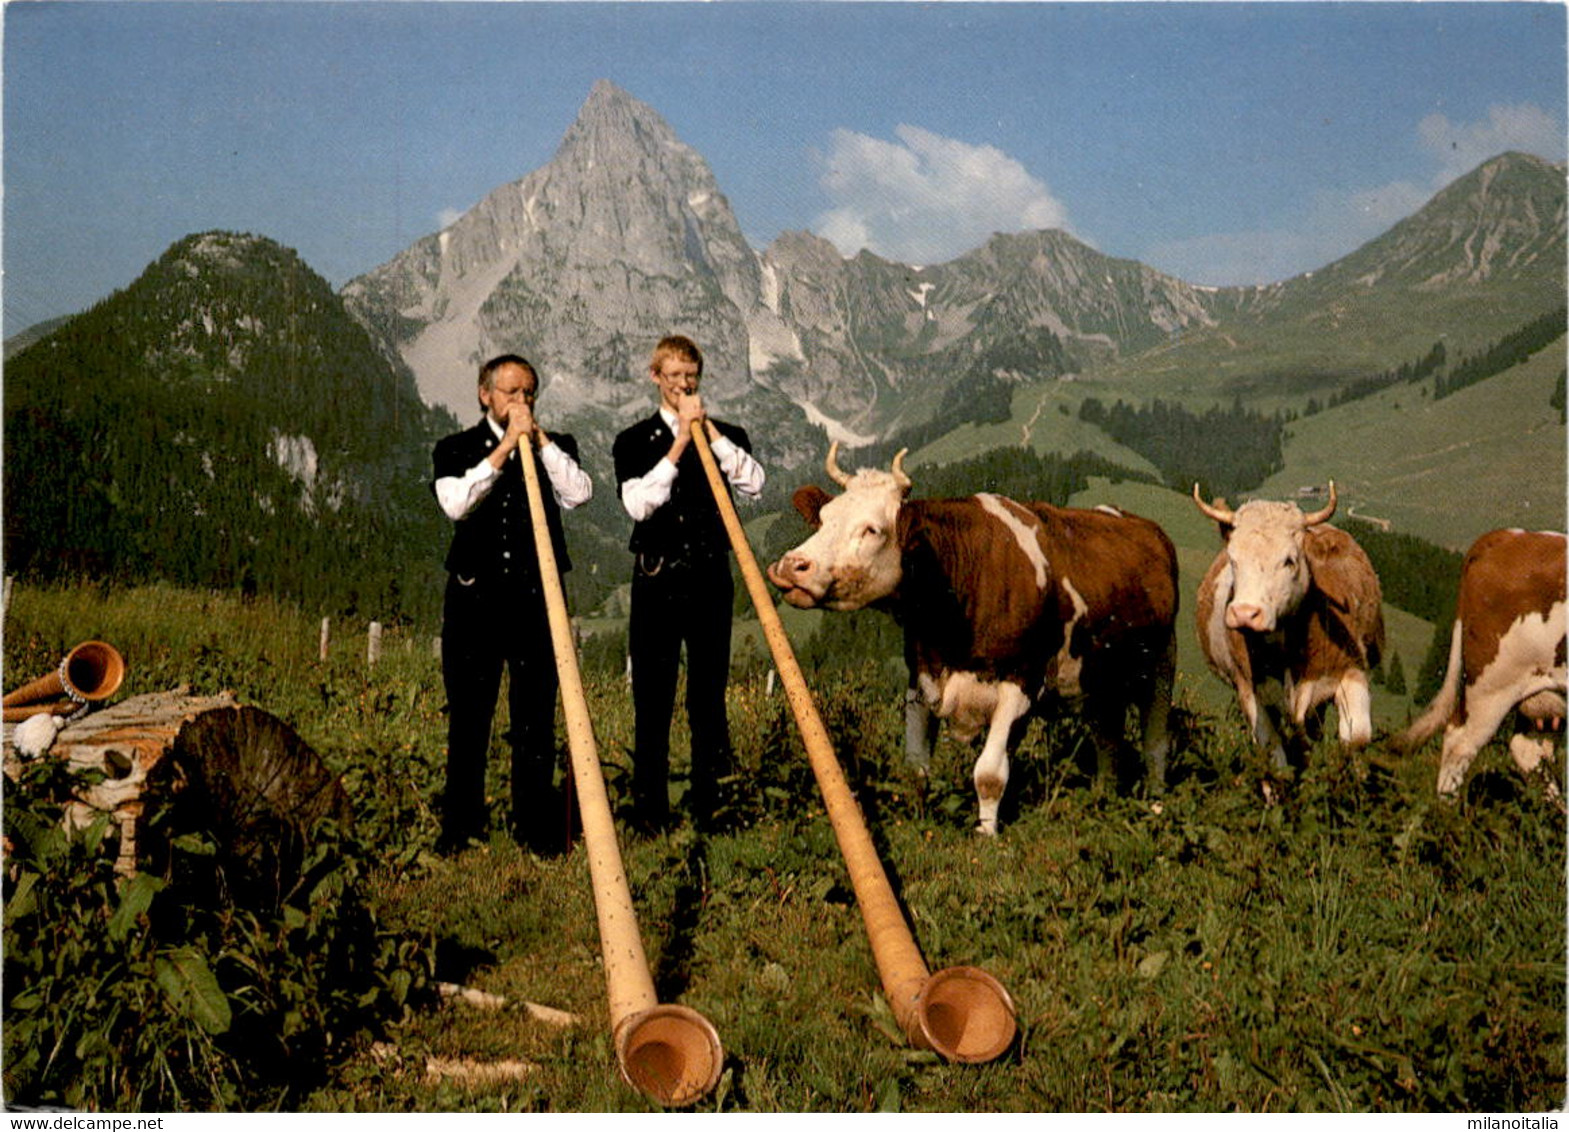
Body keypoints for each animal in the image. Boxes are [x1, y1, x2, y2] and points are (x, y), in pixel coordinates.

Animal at [759, 445, 1179, 835]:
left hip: (1162, 662)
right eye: (823, 519)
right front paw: (917, 819)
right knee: (1108, 740)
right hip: (1097, 680)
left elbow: (990, 773)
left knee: (1155, 742)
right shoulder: (921, 679)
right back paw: (1103, 797)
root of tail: (1142, 525)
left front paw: (986, 832)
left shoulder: (1020, 684)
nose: (791, 566)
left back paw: (1158, 805)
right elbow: (916, 767)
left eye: (872, 529)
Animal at [1186, 477, 1386, 769]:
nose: (1245, 613)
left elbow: (1356, 739)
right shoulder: (1249, 690)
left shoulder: (1352, 671)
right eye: (1233, 559)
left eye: (1289, 560)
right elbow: (1274, 753)